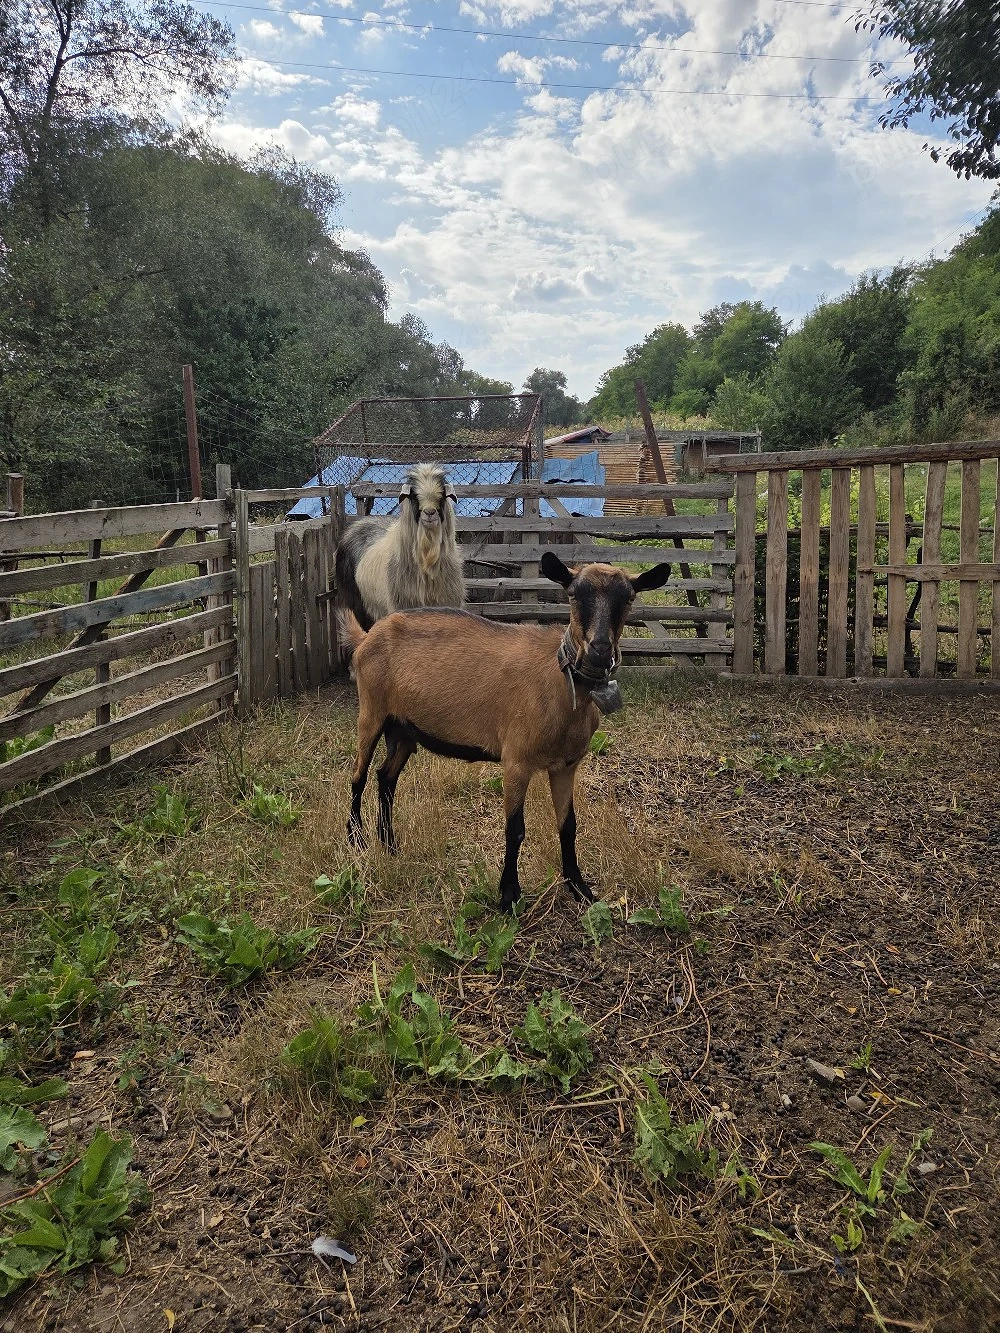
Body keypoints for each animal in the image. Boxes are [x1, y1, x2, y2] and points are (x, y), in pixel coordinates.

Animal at [342, 552, 672, 910]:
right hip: (371, 712)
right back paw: (356, 840)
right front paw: (509, 896)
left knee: (385, 778)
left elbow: (568, 825)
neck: (559, 682)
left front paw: (580, 888)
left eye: (629, 598)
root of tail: (366, 638)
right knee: (359, 775)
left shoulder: (566, 765)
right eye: (572, 594)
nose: (599, 649)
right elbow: (515, 829)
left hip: (403, 730)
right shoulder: (516, 761)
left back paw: (389, 845)